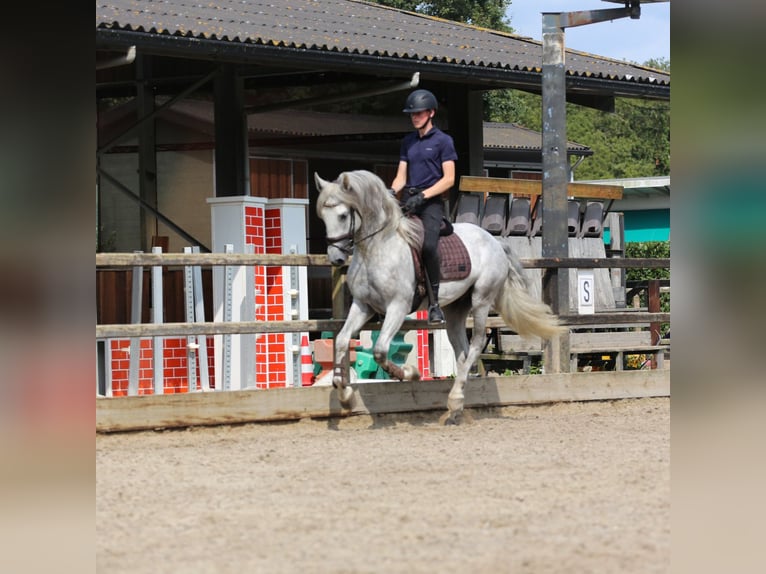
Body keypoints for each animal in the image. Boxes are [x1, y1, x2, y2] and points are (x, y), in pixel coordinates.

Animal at [314, 169, 564, 426]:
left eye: (343, 215)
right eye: (323, 216)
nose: (335, 258)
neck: (378, 248)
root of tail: (494, 240)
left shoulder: (398, 306)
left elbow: (381, 350)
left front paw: (410, 373)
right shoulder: (363, 305)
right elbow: (342, 340)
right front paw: (344, 394)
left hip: (481, 300)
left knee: (476, 343)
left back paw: (454, 400)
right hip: (455, 309)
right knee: (463, 353)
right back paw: (458, 404)